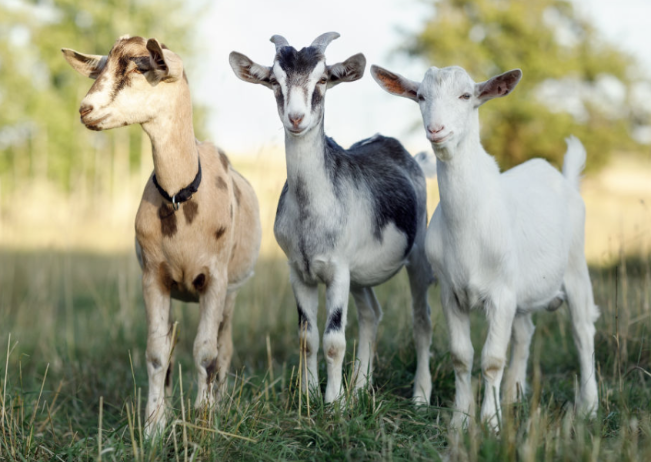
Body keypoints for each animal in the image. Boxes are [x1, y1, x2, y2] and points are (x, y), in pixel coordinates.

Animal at [62, 36, 261, 436]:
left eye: (141, 66)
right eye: (102, 66)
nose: (86, 109)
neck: (180, 197)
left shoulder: (215, 279)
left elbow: (206, 351)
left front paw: (204, 419)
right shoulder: (153, 277)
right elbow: (157, 353)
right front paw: (154, 427)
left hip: (232, 292)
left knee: (224, 346)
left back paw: (221, 400)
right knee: (172, 344)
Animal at [229, 33, 435, 404]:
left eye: (323, 79)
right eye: (274, 81)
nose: (296, 118)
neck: (311, 214)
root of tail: (409, 155)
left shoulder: (338, 271)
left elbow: (334, 340)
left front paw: (333, 403)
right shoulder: (300, 271)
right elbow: (307, 337)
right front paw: (309, 395)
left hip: (417, 256)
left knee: (422, 320)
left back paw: (420, 396)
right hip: (361, 276)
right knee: (371, 314)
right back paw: (361, 387)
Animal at [372, 64, 599, 428]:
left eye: (466, 95)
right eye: (420, 96)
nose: (436, 130)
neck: (467, 228)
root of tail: (564, 179)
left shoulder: (501, 293)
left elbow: (492, 359)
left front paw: (491, 423)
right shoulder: (452, 292)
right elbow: (462, 356)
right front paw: (461, 420)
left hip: (576, 267)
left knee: (582, 331)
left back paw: (589, 407)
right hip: (523, 290)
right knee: (524, 332)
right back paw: (513, 395)